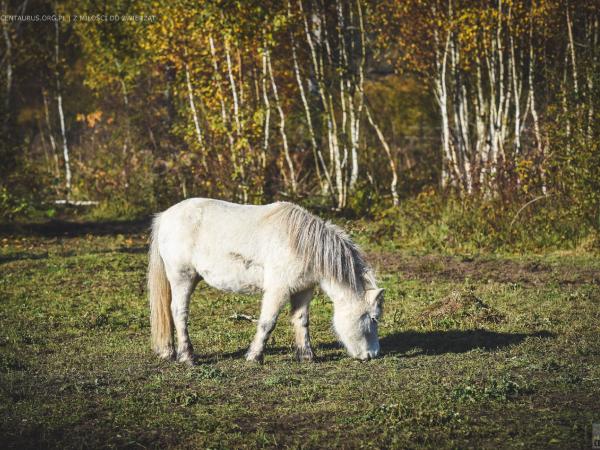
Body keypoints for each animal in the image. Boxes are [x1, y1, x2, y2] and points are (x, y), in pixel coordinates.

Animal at [147, 199, 382, 364]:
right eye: (372, 318)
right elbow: (268, 322)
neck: (301, 244)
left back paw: (169, 352)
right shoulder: (278, 290)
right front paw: (254, 356)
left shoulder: (303, 291)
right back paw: (187, 357)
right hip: (182, 278)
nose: (373, 354)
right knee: (178, 312)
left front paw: (307, 356)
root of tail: (165, 216)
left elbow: (301, 321)